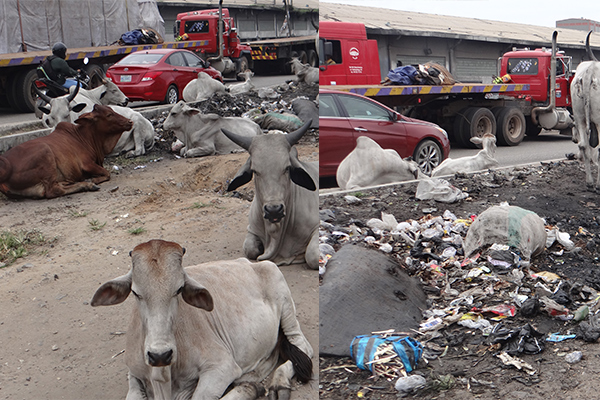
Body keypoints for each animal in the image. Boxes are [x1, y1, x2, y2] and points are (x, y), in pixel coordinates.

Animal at [0, 104, 132, 199]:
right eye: (109, 114)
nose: (129, 122)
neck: (86, 137)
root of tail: (7, 165)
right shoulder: (87, 164)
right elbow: (107, 173)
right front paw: (93, 180)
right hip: (45, 153)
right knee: (54, 190)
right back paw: (87, 185)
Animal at [92, 239, 314, 400]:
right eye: (136, 292)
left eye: (179, 289)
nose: (159, 355)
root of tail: (249, 263)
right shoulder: (134, 373)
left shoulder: (221, 367)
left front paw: (249, 389)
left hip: (285, 303)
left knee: (304, 348)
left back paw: (279, 384)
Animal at [224, 120, 318, 270]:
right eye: (255, 171)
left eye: (287, 168)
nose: (274, 210)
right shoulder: (252, 229)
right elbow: (250, 249)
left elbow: (313, 255)